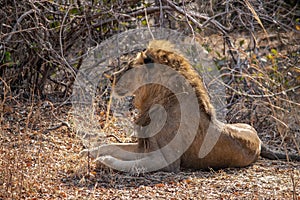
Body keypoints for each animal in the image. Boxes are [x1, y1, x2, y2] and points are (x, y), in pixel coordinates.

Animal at [79, 39, 300, 172]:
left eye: (129, 67)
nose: (111, 78)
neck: (156, 100)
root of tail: (260, 140)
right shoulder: (145, 146)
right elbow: (111, 146)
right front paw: (88, 151)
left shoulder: (167, 161)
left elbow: (130, 164)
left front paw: (103, 161)